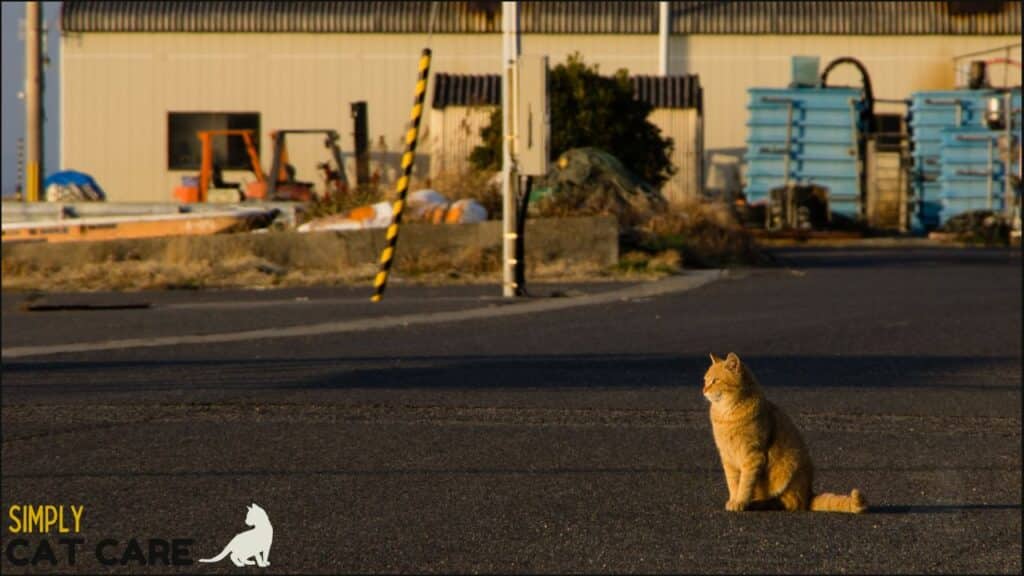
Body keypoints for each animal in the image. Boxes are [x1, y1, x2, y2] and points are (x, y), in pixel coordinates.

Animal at [708, 350, 868, 510]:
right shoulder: (728, 458)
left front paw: (740, 502)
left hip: (789, 468)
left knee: (792, 503)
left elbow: (745, 484)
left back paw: (763, 503)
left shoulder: (752, 456)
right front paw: (734, 500)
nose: (704, 390)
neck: (726, 416)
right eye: (705, 380)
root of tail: (809, 494)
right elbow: (734, 484)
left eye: (715, 381)